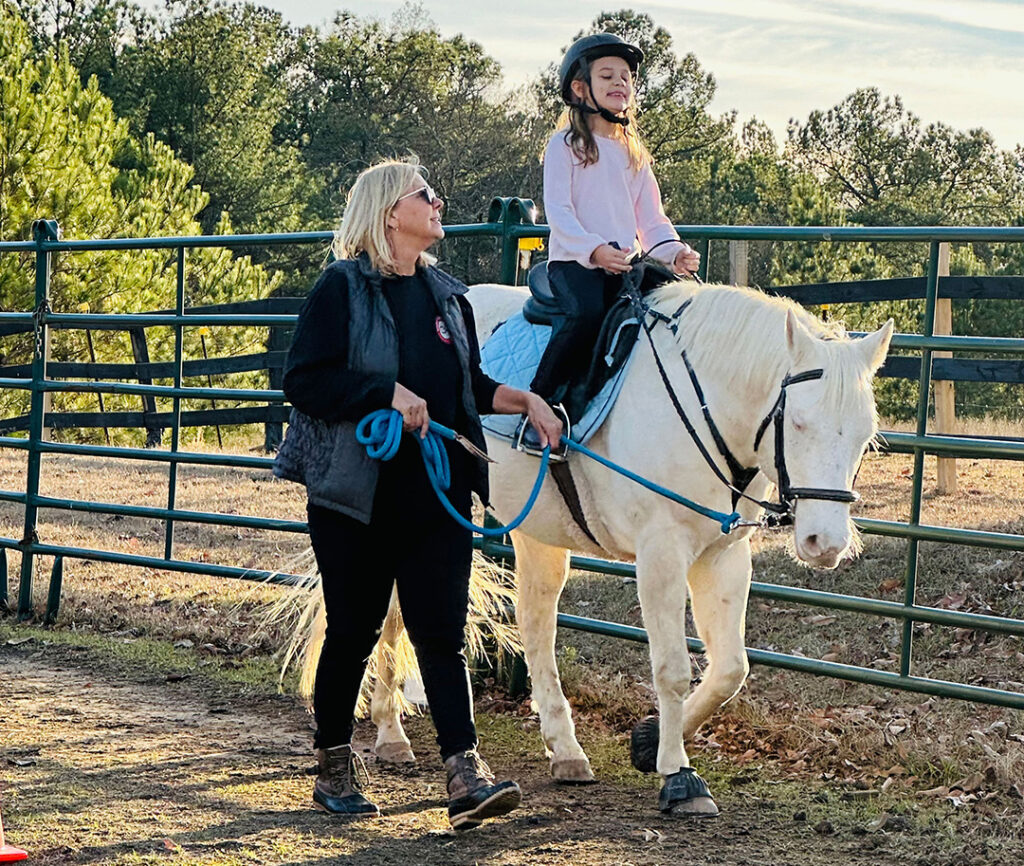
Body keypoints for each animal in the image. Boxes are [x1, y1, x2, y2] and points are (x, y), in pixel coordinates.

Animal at [291, 277, 894, 816]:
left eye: (865, 434)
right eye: (799, 422)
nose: (824, 543)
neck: (701, 407)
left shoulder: (723, 558)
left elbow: (729, 670)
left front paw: (648, 742)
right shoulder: (660, 554)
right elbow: (673, 669)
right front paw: (679, 776)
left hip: (534, 535)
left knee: (533, 625)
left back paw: (565, 750)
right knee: (394, 618)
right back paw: (391, 733)